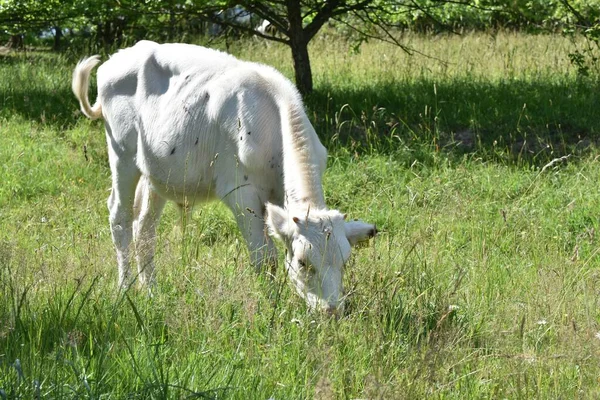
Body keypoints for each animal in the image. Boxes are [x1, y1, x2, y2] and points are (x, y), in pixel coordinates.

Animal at [71, 41, 376, 316]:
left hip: (156, 172)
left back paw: (150, 290)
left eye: (345, 261)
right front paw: (270, 306)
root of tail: (121, 55)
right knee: (120, 217)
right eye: (303, 262)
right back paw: (125, 288)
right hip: (122, 155)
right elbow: (264, 258)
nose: (332, 311)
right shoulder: (241, 193)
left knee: (144, 227)